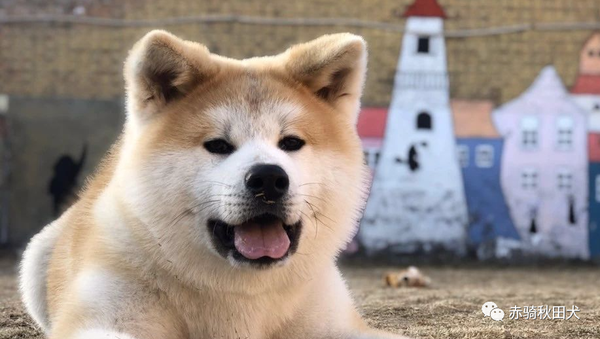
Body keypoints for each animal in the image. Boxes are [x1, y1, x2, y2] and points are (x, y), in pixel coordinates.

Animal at [19, 30, 412, 338]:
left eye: (291, 142)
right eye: (219, 145)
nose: (269, 178)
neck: (239, 297)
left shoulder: (332, 322)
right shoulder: (108, 310)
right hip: (35, 259)